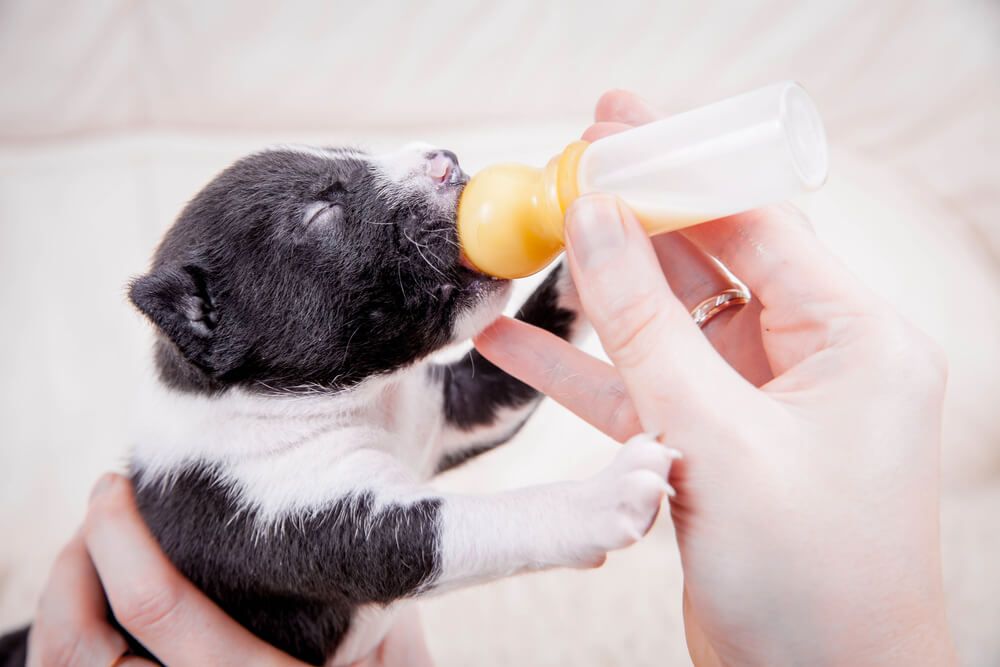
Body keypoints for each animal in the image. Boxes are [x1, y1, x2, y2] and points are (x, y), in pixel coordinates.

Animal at [1, 144, 672, 664]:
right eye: (324, 211)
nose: (446, 159)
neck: (357, 401)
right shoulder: (316, 522)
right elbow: (483, 522)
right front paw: (606, 494)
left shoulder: (454, 408)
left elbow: (524, 352)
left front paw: (590, 231)